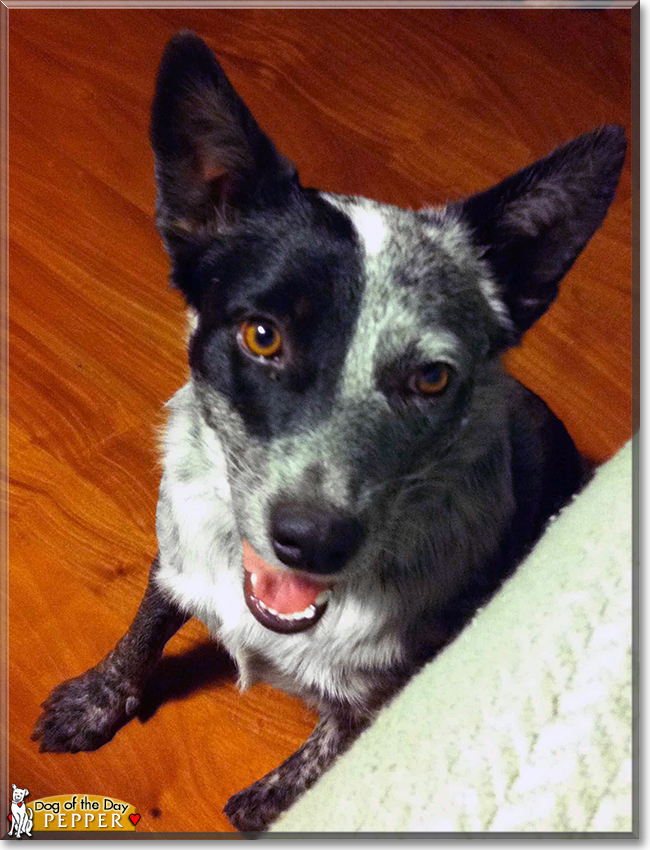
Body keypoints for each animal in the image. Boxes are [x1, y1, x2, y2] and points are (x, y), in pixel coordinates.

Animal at [33, 31, 624, 828]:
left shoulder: (377, 701)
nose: (313, 540)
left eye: (431, 378)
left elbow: (317, 761)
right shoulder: (176, 551)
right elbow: (145, 627)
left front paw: (266, 807)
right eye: (262, 335)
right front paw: (98, 701)